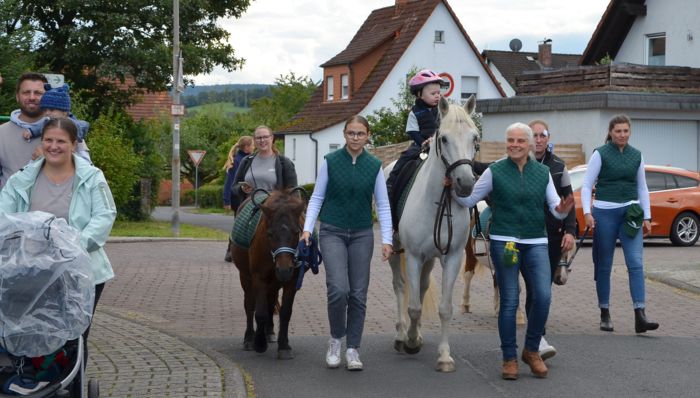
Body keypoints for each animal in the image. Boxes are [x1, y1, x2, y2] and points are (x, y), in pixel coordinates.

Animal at [232, 188, 306, 360]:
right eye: (270, 234)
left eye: (296, 232)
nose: (284, 269)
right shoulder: (258, 278)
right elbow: (259, 312)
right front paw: (259, 343)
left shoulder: (292, 281)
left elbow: (285, 312)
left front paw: (284, 345)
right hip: (246, 277)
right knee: (249, 304)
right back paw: (249, 338)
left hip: (274, 282)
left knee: (271, 301)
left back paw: (270, 331)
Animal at [386, 95, 478, 372]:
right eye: (444, 138)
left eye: (475, 138)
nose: (465, 183)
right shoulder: (414, 256)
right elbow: (414, 306)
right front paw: (410, 342)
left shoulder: (452, 257)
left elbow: (445, 308)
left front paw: (444, 356)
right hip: (396, 252)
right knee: (400, 286)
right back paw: (401, 335)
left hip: (429, 259)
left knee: (422, 286)